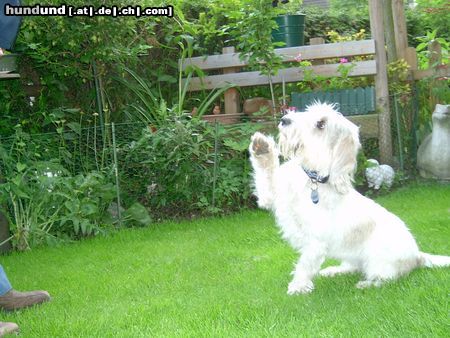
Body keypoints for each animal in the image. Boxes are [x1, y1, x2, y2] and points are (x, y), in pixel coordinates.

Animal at [250, 102, 450, 294]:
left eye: (321, 124)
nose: (284, 120)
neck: (313, 181)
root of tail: (417, 255)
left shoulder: (316, 241)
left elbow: (305, 264)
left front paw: (298, 287)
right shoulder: (270, 197)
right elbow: (265, 176)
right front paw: (262, 148)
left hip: (378, 261)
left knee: (386, 279)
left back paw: (366, 285)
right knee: (353, 267)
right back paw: (333, 271)